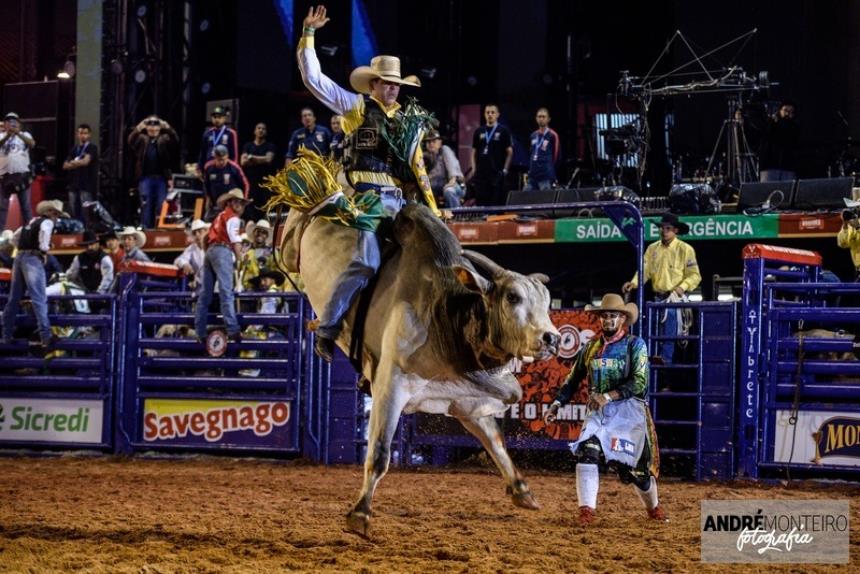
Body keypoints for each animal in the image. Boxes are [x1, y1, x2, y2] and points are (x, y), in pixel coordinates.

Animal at [280, 202, 564, 536]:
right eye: (512, 297)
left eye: (547, 301)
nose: (552, 338)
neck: (444, 315)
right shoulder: (390, 387)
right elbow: (379, 452)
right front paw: (360, 514)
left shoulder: (465, 399)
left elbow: (495, 441)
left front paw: (522, 490)